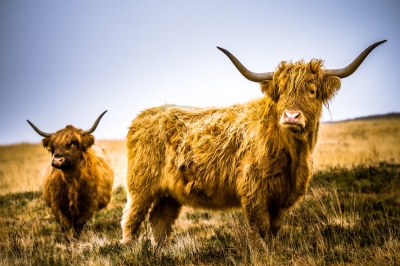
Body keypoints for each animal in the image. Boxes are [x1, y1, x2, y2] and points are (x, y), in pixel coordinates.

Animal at [27, 110, 114, 241]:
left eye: (73, 143)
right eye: (54, 146)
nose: (57, 160)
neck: (72, 182)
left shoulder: (88, 206)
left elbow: (78, 225)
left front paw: (75, 241)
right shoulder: (58, 206)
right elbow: (65, 226)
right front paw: (65, 242)